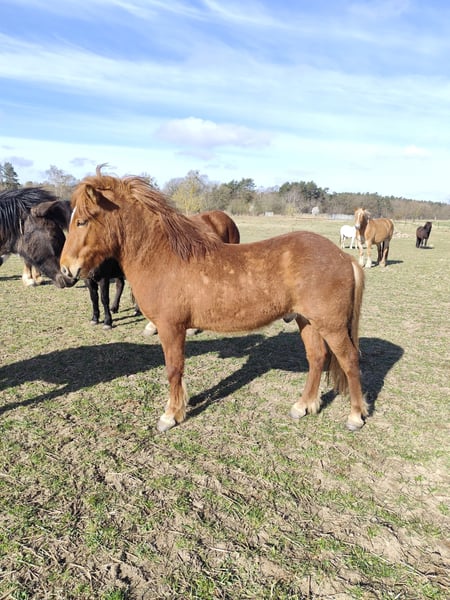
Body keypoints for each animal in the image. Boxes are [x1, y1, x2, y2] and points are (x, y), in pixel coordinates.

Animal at [60, 168, 367, 433]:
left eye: (82, 221)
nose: (65, 270)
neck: (162, 257)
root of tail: (345, 257)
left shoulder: (171, 328)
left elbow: (174, 369)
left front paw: (170, 416)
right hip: (308, 321)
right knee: (317, 358)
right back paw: (303, 406)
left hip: (331, 326)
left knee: (349, 360)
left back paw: (355, 416)